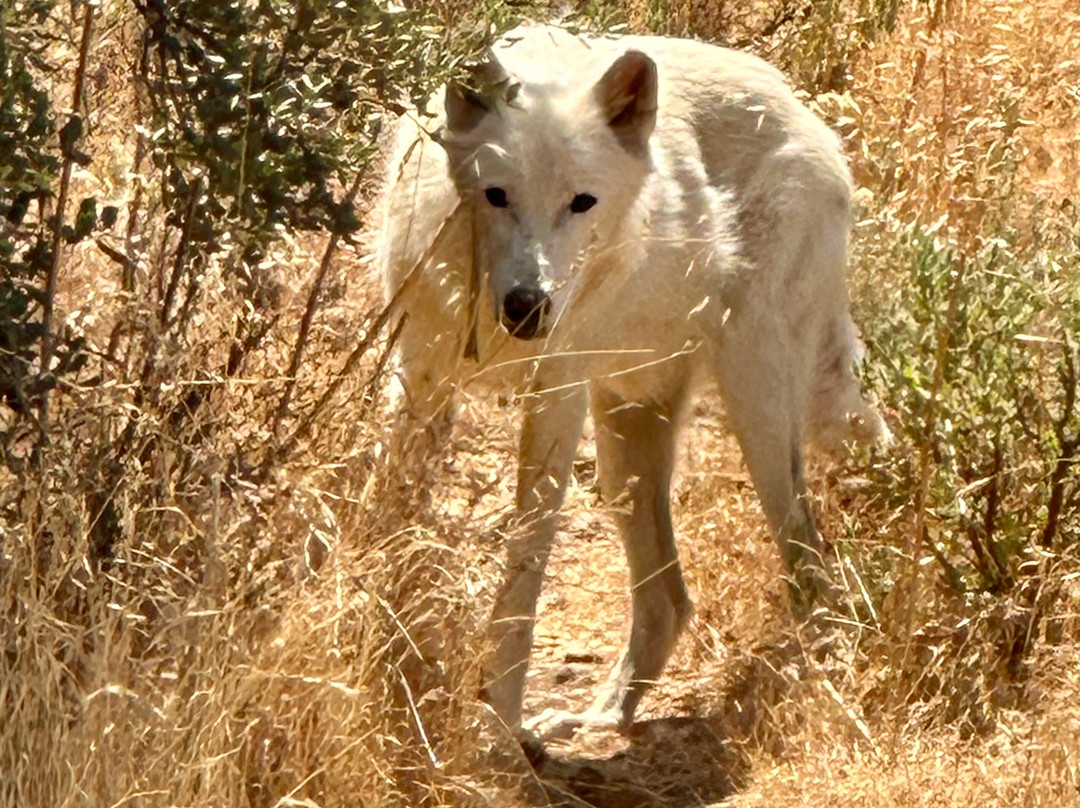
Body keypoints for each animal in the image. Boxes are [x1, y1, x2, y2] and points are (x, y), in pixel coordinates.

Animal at [380, 24, 887, 739]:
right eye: (497, 195)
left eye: (581, 203)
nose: (528, 306)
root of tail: (808, 116)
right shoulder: (419, 378)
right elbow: (387, 515)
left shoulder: (556, 397)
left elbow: (524, 572)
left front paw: (497, 722)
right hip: (625, 445)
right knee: (670, 601)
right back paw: (599, 720)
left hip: (756, 415)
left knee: (812, 568)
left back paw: (827, 686)